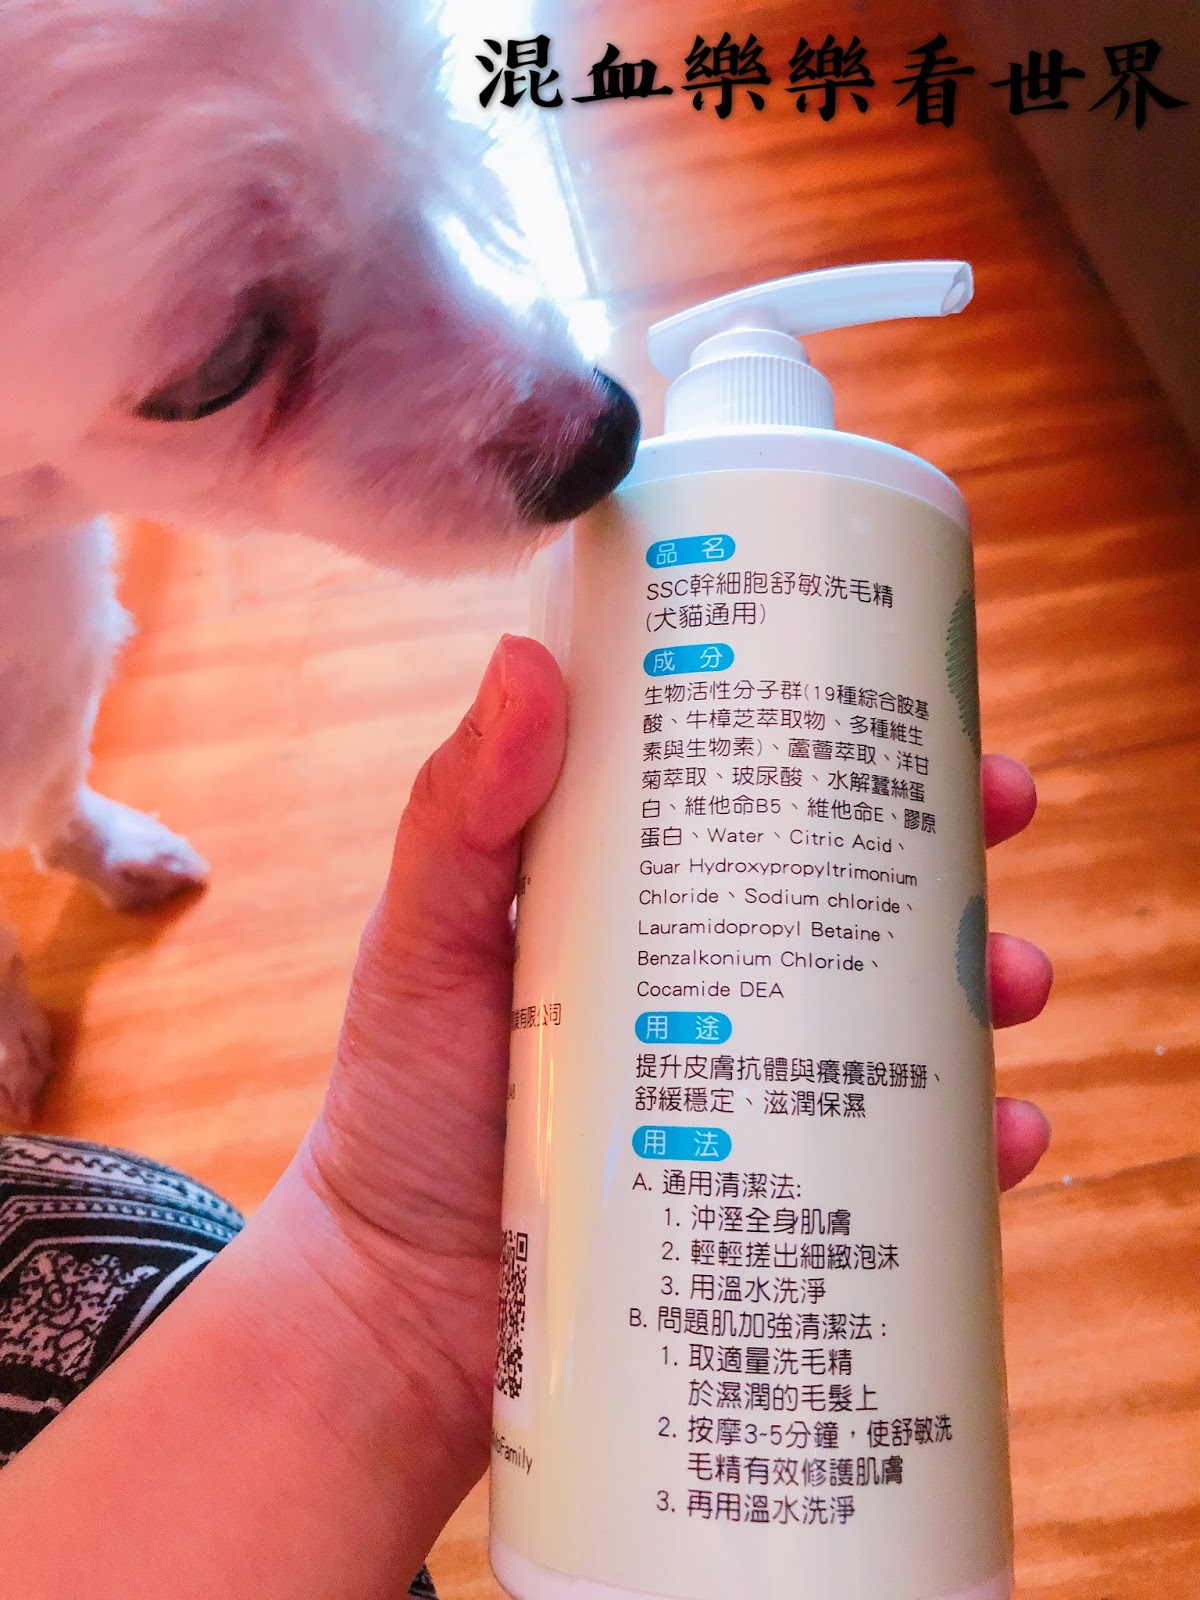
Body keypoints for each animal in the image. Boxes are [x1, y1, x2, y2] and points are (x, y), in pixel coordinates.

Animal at [0, 0, 640, 1119]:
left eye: (421, 160)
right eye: (220, 371)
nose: (608, 438)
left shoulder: (53, 661)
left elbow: (53, 781)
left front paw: (107, 850)